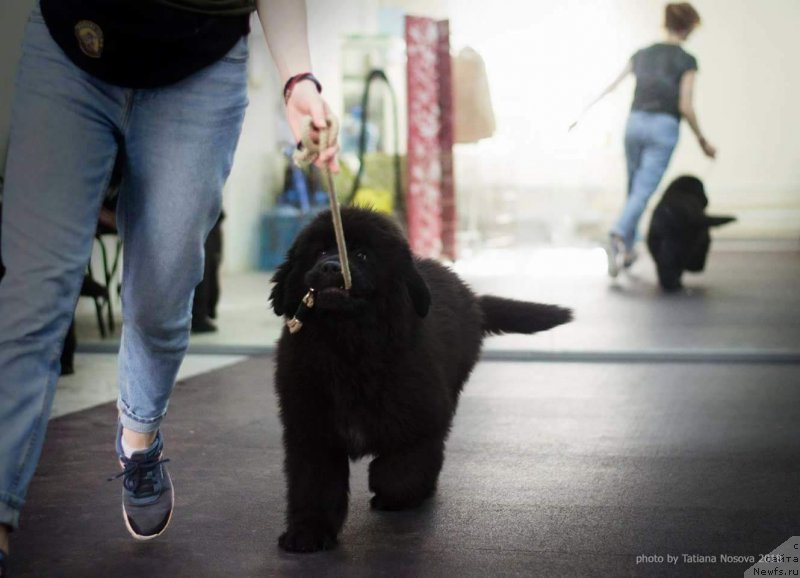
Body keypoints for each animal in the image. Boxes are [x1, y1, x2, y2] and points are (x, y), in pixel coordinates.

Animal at [272, 208, 572, 552]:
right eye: (320, 252)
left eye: (362, 255)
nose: (331, 266)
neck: (348, 348)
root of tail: (472, 297)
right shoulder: (311, 430)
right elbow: (314, 486)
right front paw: (307, 533)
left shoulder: (421, 418)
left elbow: (400, 470)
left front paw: (387, 490)